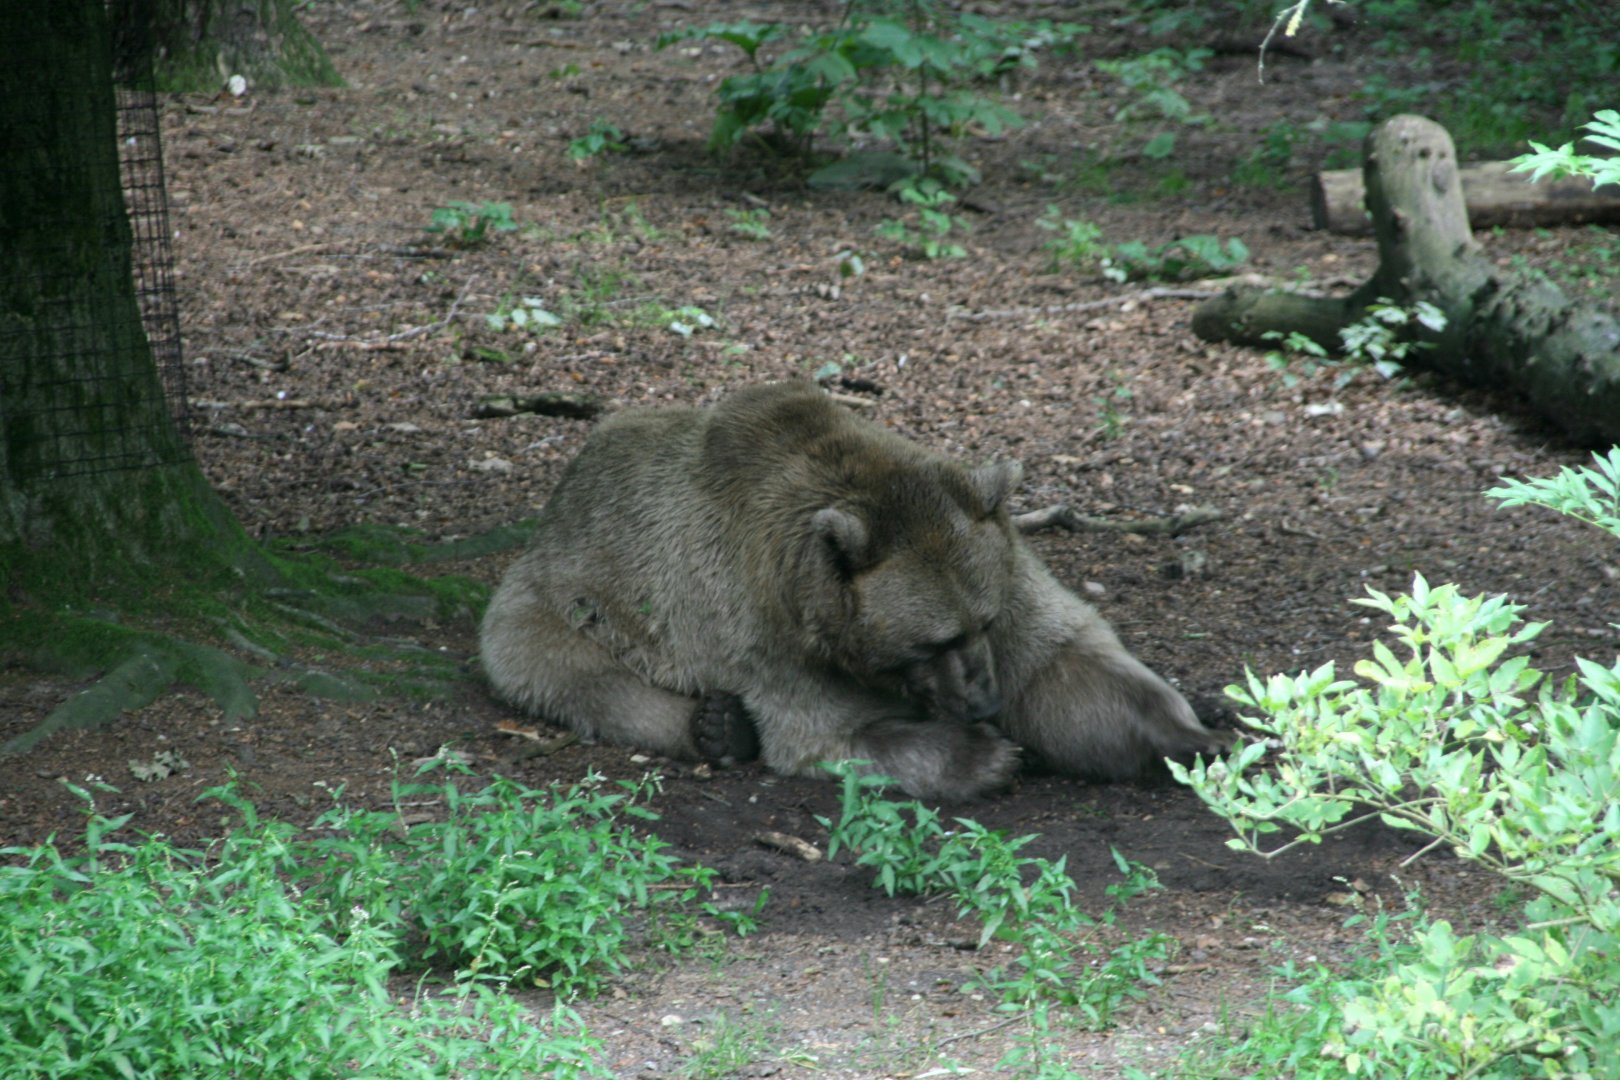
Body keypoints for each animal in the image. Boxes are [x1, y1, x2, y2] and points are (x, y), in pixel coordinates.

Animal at [479, 381, 1229, 801]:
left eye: (981, 622)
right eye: (932, 641)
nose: (983, 702)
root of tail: (570, 476)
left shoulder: (1010, 582)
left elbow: (1066, 662)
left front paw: (1192, 735)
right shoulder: (761, 625)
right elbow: (827, 733)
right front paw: (984, 755)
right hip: (562, 599)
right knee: (568, 673)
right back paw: (716, 727)